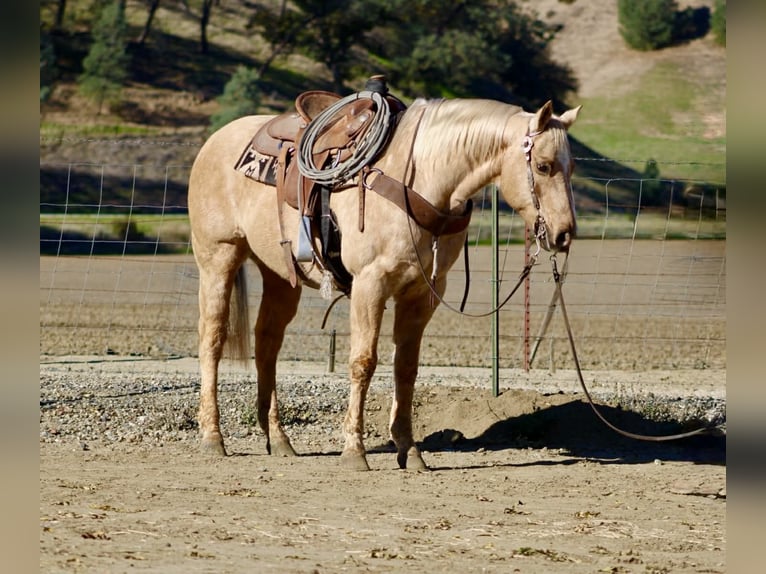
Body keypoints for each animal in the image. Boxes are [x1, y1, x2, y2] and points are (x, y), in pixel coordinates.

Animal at [187, 96, 581, 470]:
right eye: (543, 165)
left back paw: (279, 440)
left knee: (267, 343)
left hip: (282, 277)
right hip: (218, 257)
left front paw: (410, 450)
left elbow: (405, 368)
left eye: (571, 167)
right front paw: (354, 451)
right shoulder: (370, 285)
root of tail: (215, 141)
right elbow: (363, 362)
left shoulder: (422, 294)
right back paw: (212, 437)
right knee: (212, 339)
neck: (420, 181)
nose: (564, 234)